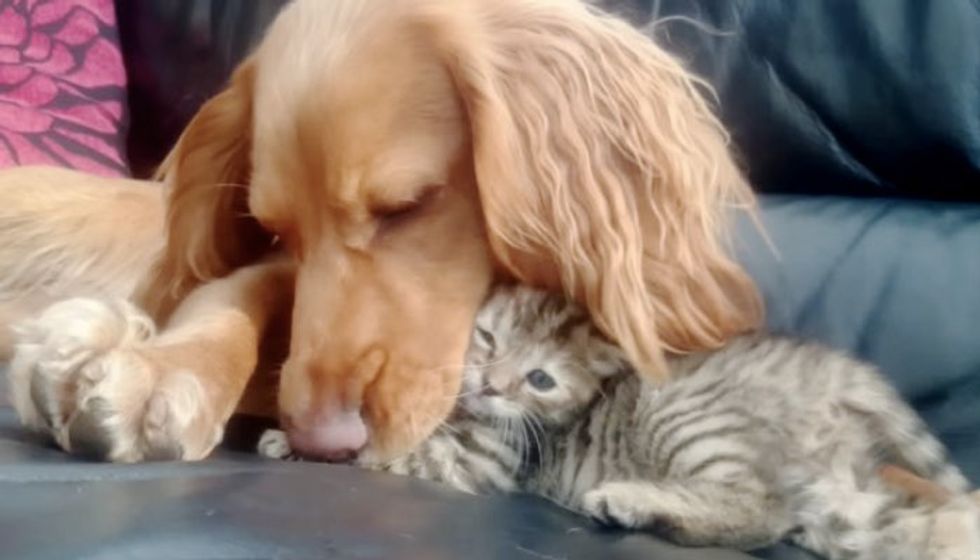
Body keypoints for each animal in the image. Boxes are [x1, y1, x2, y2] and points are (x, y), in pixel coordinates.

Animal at [262, 286, 980, 556]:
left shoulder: (480, 461)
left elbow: (394, 450)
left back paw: (629, 500)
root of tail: (835, 372)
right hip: (838, 501)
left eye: (540, 380)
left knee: (761, 510)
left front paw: (297, 441)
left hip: (688, 418)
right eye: (488, 340)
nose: (491, 384)